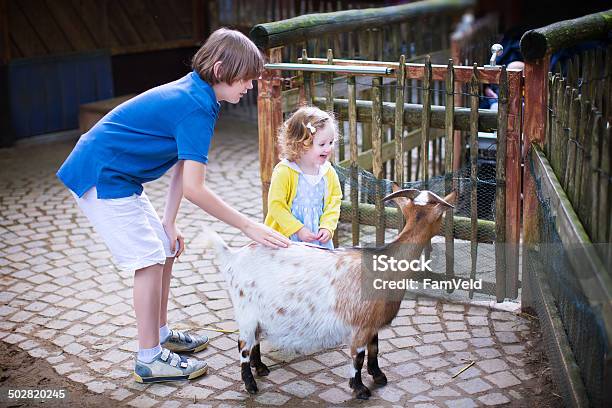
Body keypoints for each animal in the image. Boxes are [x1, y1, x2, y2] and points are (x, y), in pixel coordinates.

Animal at [202, 188, 454, 398]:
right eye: (441, 216)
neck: (386, 264)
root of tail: (232, 256)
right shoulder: (361, 326)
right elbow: (358, 357)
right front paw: (360, 389)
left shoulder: (371, 322)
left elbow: (374, 348)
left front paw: (379, 376)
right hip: (245, 311)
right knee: (243, 344)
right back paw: (250, 384)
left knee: (254, 339)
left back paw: (261, 368)